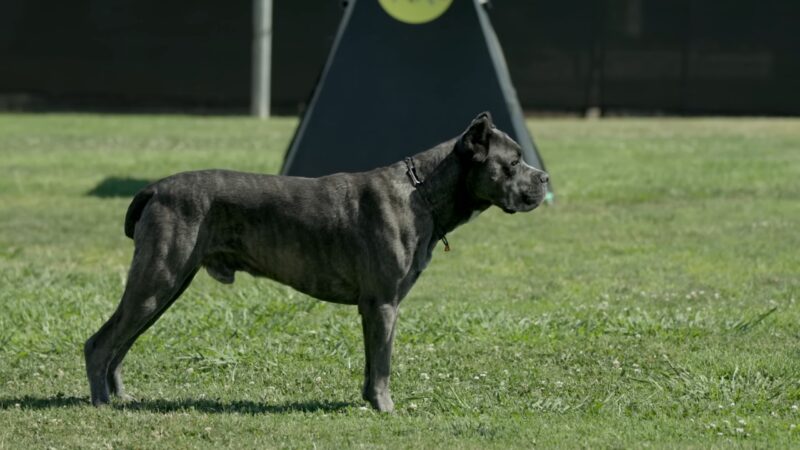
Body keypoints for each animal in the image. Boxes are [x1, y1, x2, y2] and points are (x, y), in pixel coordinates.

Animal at [87, 111, 552, 412]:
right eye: (513, 163)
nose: (545, 178)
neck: (423, 191)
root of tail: (155, 188)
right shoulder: (384, 304)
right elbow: (383, 363)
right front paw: (386, 407)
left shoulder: (374, 310)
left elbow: (371, 361)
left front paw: (369, 400)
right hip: (158, 280)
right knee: (101, 342)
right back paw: (101, 402)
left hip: (164, 287)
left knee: (121, 343)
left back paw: (119, 396)